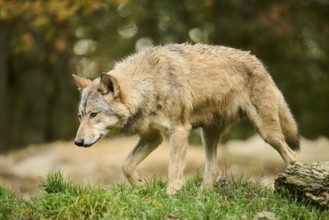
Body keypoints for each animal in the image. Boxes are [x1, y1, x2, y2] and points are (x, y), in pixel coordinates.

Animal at [73, 43, 298, 194]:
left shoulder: (179, 131)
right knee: (213, 170)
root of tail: (260, 63)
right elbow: (126, 165)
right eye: (80, 116)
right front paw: (140, 184)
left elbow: (173, 169)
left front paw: (170, 194)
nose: (78, 141)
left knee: (292, 156)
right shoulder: (152, 137)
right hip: (208, 135)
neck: (149, 84)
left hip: (266, 133)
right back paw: (202, 196)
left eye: (94, 114)